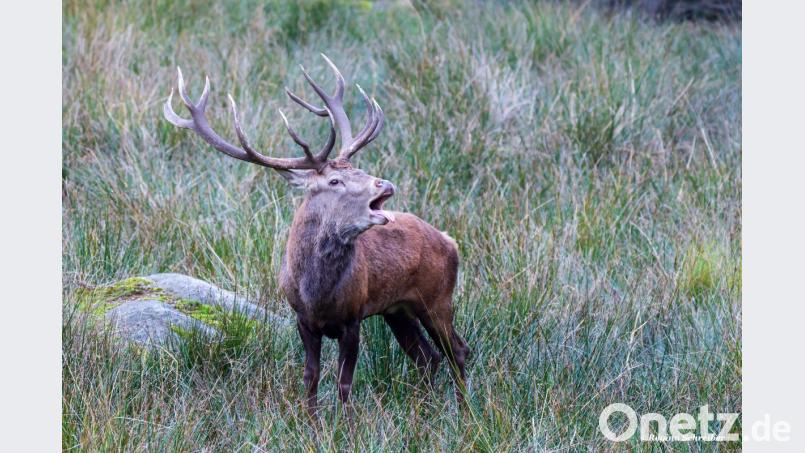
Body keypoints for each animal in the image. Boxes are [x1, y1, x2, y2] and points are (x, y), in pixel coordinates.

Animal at [163, 55, 470, 416]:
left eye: (359, 169)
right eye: (335, 181)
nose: (384, 184)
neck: (318, 294)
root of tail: (450, 241)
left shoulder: (353, 317)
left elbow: (344, 383)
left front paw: (346, 425)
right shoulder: (302, 318)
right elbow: (310, 376)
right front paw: (309, 421)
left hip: (437, 297)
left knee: (458, 350)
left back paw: (465, 411)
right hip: (398, 309)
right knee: (428, 356)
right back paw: (426, 408)